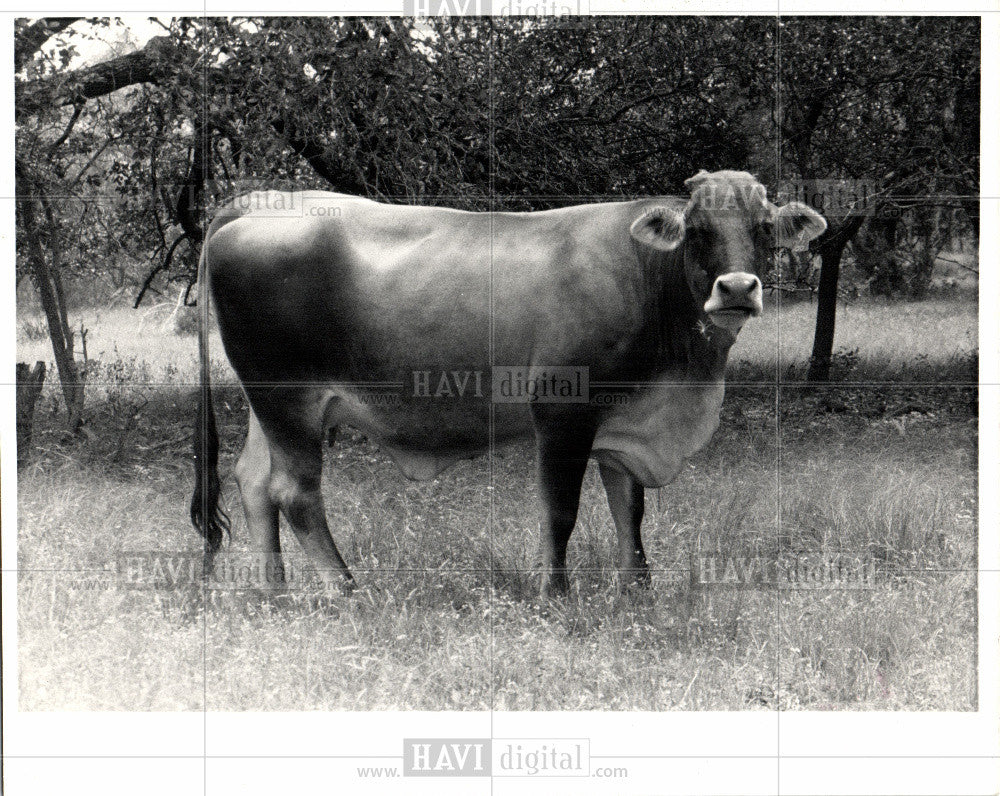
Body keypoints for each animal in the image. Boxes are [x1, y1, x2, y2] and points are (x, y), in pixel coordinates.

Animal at [191, 174, 824, 596]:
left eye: (764, 228)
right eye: (697, 229)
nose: (737, 288)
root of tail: (263, 202)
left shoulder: (623, 422)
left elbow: (629, 508)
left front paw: (637, 590)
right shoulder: (562, 411)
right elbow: (560, 509)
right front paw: (555, 594)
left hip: (269, 405)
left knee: (254, 481)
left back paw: (275, 592)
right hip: (289, 399)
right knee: (295, 492)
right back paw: (348, 591)